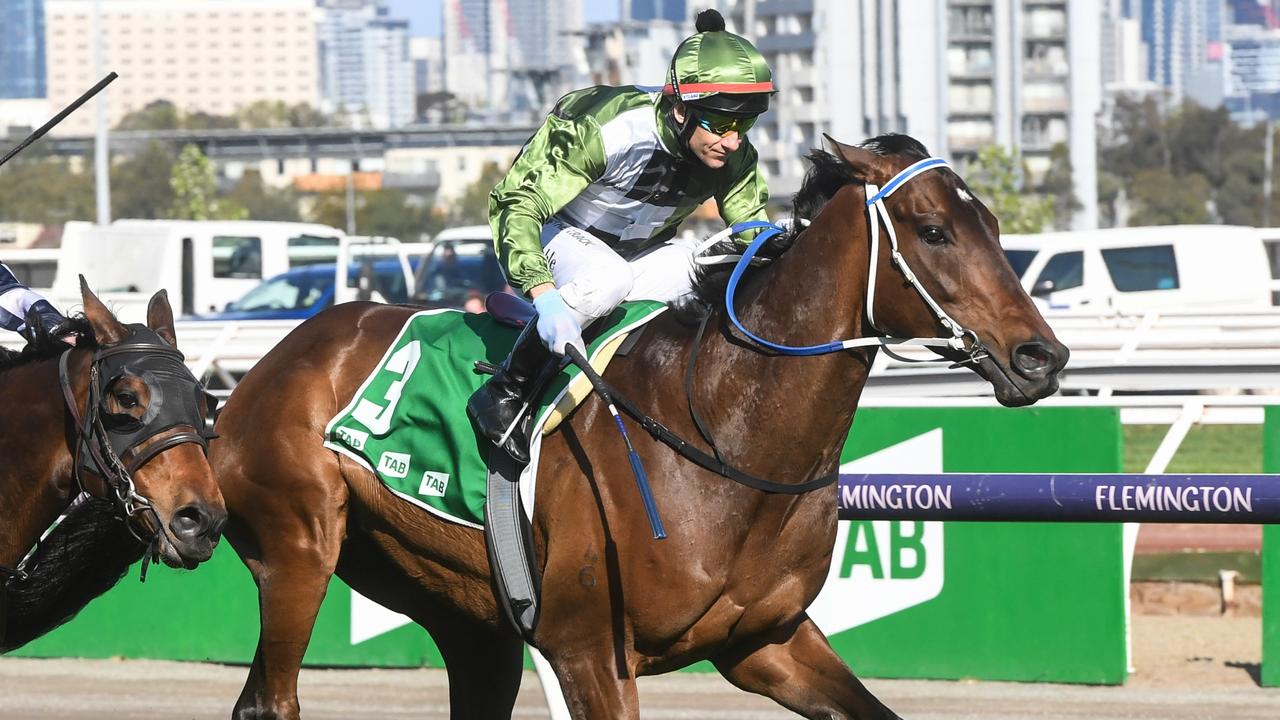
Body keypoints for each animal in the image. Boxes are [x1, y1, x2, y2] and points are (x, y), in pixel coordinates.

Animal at [212, 131, 1070, 712]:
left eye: (996, 227)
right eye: (934, 231)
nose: (1042, 356)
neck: (721, 436)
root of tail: (267, 368)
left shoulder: (766, 641)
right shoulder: (588, 652)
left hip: (464, 615)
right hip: (298, 554)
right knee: (270, 696)